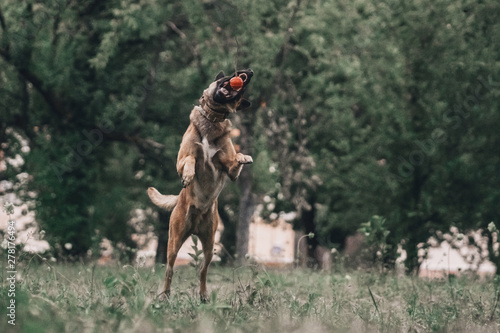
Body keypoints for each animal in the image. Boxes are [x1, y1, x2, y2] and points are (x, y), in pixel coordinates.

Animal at [146, 68, 252, 300]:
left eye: (241, 93)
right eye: (228, 75)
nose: (248, 72)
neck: (213, 118)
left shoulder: (230, 170)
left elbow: (235, 162)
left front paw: (243, 157)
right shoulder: (181, 159)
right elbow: (191, 160)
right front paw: (188, 176)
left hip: (210, 245)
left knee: (203, 271)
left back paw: (203, 295)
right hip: (173, 243)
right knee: (169, 270)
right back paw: (165, 295)